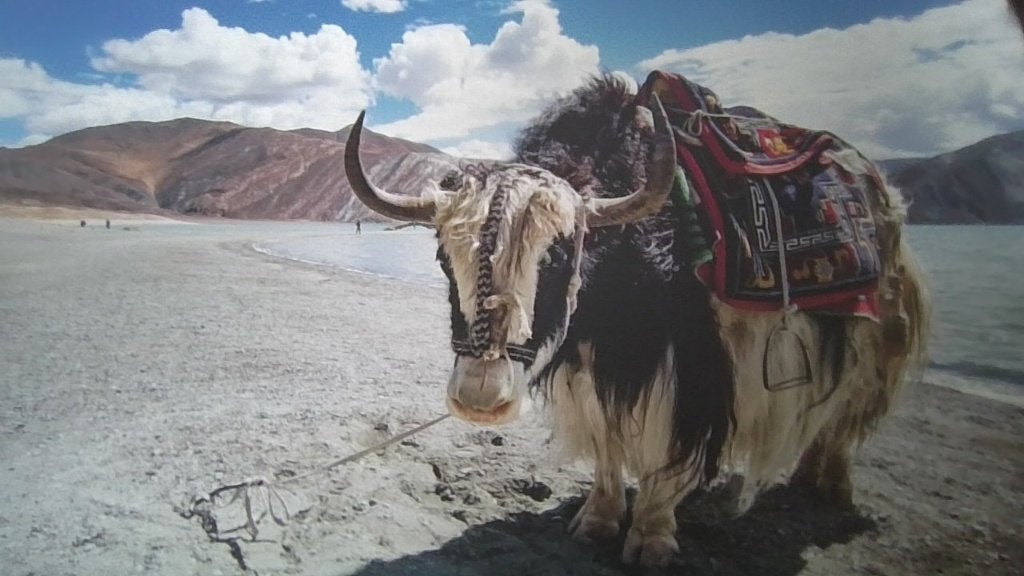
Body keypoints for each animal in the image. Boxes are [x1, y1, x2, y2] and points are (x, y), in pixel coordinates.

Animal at [344, 74, 929, 566]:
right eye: (445, 258)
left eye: (559, 259)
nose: (479, 400)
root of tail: (881, 189)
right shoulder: (587, 365)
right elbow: (606, 442)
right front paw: (597, 522)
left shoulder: (692, 369)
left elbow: (666, 452)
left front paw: (651, 539)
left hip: (878, 335)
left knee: (848, 411)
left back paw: (831, 486)